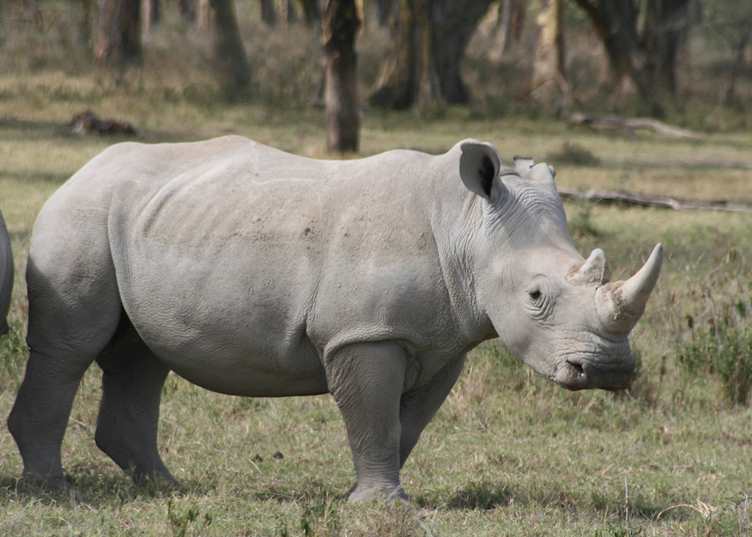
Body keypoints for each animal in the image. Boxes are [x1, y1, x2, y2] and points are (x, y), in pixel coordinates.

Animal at [8, 137, 662, 501]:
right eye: (535, 295)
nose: (608, 371)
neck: (466, 226)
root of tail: (83, 168)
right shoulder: (364, 333)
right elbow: (372, 415)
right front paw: (382, 506)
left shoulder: (442, 340)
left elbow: (405, 424)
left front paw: (366, 493)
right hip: (80, 213)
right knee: (71, 347)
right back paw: (56, 489)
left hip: (147, 221)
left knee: (143, 355)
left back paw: (166, 486)